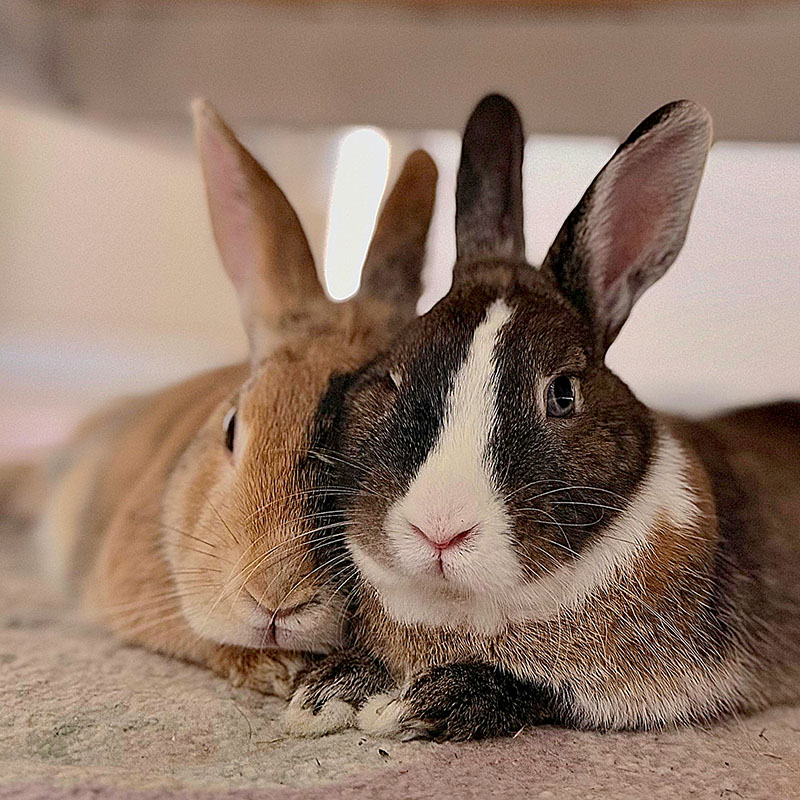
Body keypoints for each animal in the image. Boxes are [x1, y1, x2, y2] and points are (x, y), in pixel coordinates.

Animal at [286, 94, 800, 739]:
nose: (440, 531)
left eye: (562, 395)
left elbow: (541, 694)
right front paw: (324, 691)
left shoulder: (647, 686)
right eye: (392, 375)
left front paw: (413, 706)